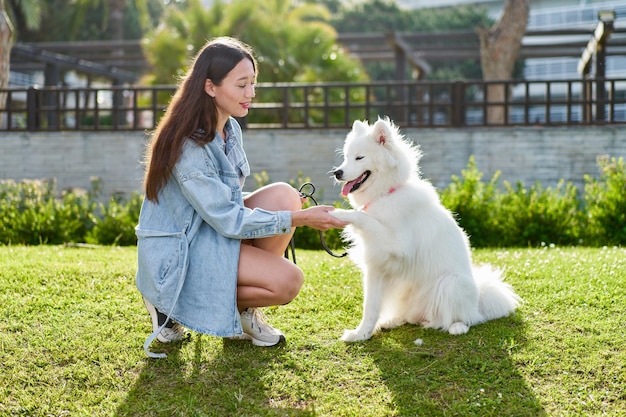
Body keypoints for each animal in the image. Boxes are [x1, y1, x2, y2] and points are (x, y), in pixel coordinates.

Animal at [330, 116, 520, 342]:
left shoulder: (396, 244)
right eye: (346, 157)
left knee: (467, 318)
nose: (337, 172)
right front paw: (361, 334)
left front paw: (338, 214)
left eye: (359, 158)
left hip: (451, 284)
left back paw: (455, 326)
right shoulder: (376, 266)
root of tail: (478, 301)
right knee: (408, 316)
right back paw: (392, 321)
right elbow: (371, 306)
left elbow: (362, 216)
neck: (387, 194)